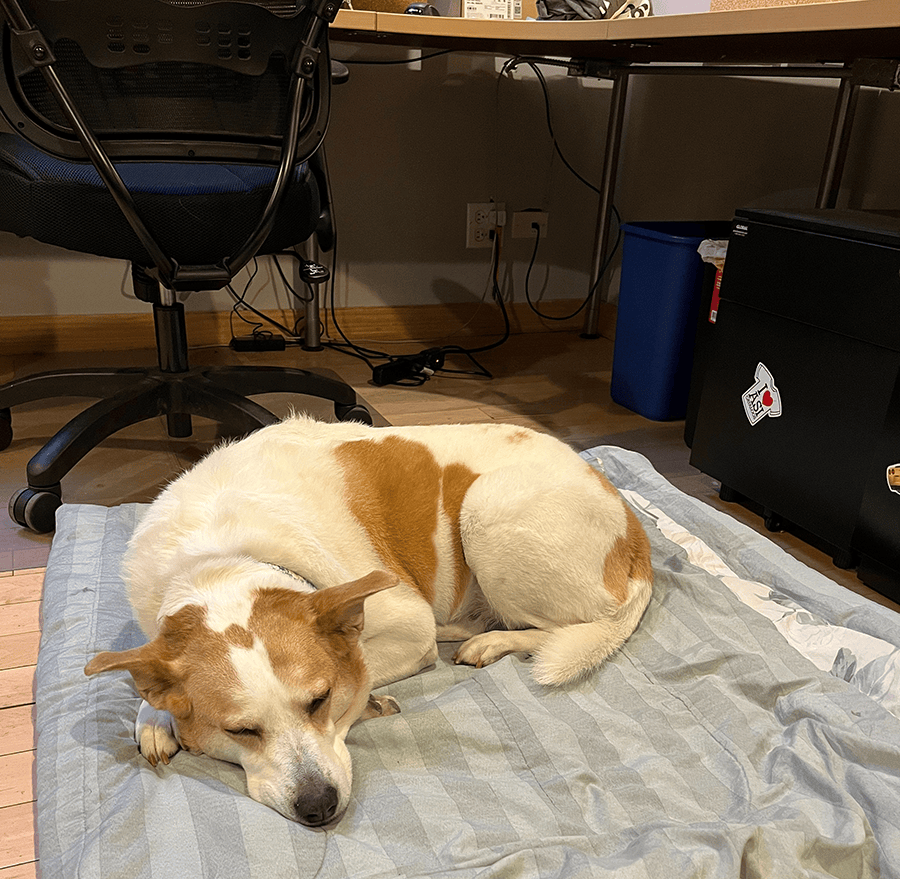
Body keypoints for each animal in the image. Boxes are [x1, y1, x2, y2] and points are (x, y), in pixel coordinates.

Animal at [84, 416, 652, 828]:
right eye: (240, 730)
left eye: (320, 701)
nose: (319, 807)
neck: (217, 560)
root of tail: (634, 529)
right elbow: (147, 668)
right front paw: (154, 716)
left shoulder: (407, 627)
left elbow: (359, 665)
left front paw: (368, 700)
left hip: (489, 513)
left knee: (575, 624)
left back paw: (490, 641)